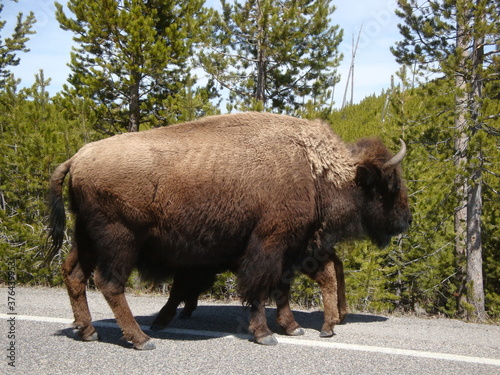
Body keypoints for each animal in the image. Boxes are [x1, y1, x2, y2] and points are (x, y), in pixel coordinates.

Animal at [47, 111, 410, 350]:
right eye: (388, 186)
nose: (405, 221)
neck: (312, 168)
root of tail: (77, 158)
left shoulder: (290, 248)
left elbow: (280, 288)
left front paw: (293, 328)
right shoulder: (269, 243)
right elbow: (260, 288)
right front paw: (265, 335)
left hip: (86, 237)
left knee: (74, 274)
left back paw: (88, 331)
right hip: (119, 240)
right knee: (109, 283)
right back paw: (141, 339)